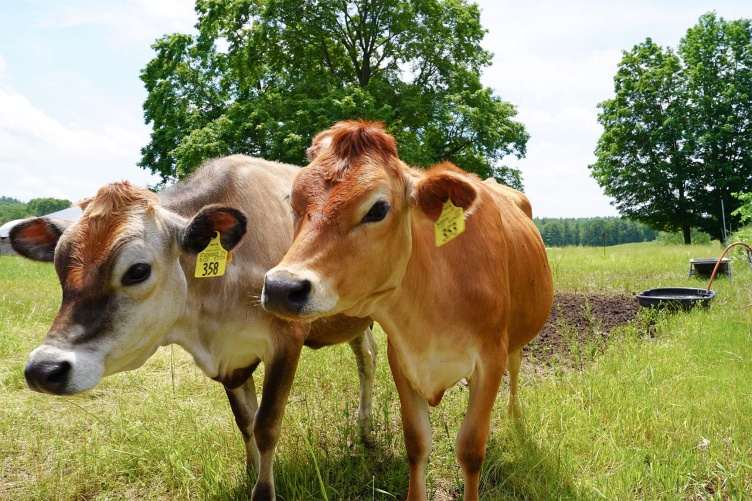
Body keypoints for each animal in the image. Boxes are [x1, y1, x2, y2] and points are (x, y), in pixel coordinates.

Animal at [9, 154, 378, 498]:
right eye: (58, 265)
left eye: (138, 270)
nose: (43, 369)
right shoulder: (231, 361)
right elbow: (245, 421)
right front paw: (249, 472)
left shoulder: (287, 342)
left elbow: (267, 425)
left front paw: (263, 490)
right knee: (367, 356)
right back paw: (364, 433)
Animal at [262, 121, 552, 500]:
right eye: (293, 202)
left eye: (377, 209)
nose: (282, 288)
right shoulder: (400, 358)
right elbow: (416, 443)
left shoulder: (490, 360)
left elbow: (471, 449)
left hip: (515, 340)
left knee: (516, 370)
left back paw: (515, 416)